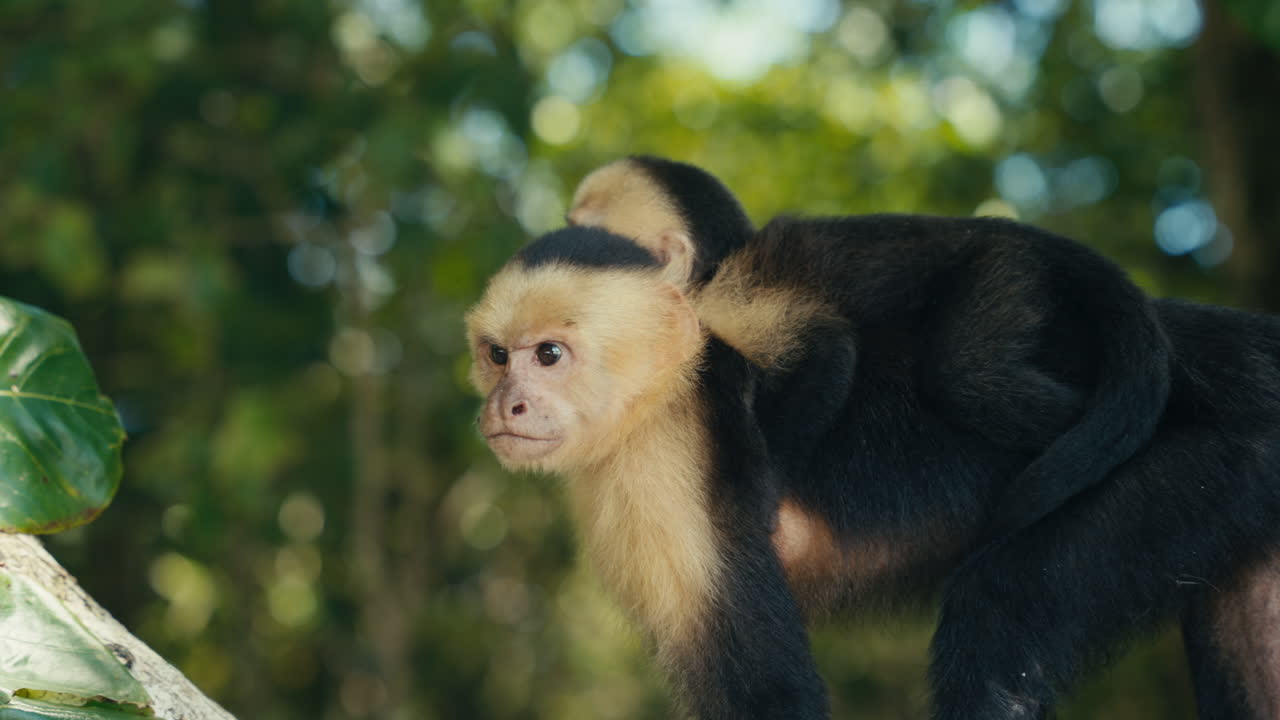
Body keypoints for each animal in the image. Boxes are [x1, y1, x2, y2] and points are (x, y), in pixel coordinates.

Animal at [467, 225, 1280, 719]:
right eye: (497, 356)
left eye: (549, 356)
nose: (507, 404)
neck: (659, 390)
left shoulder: (669, 459)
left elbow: (767, 691)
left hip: (1194, 467)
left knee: (999, 609)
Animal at [568, 155, 1170, 542]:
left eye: (585, 239)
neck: (713, 268)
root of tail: (1021, 234)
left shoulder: (727, 301)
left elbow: (828, 351)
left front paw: (765, 494)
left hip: (1005, 272)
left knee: (963, 377)